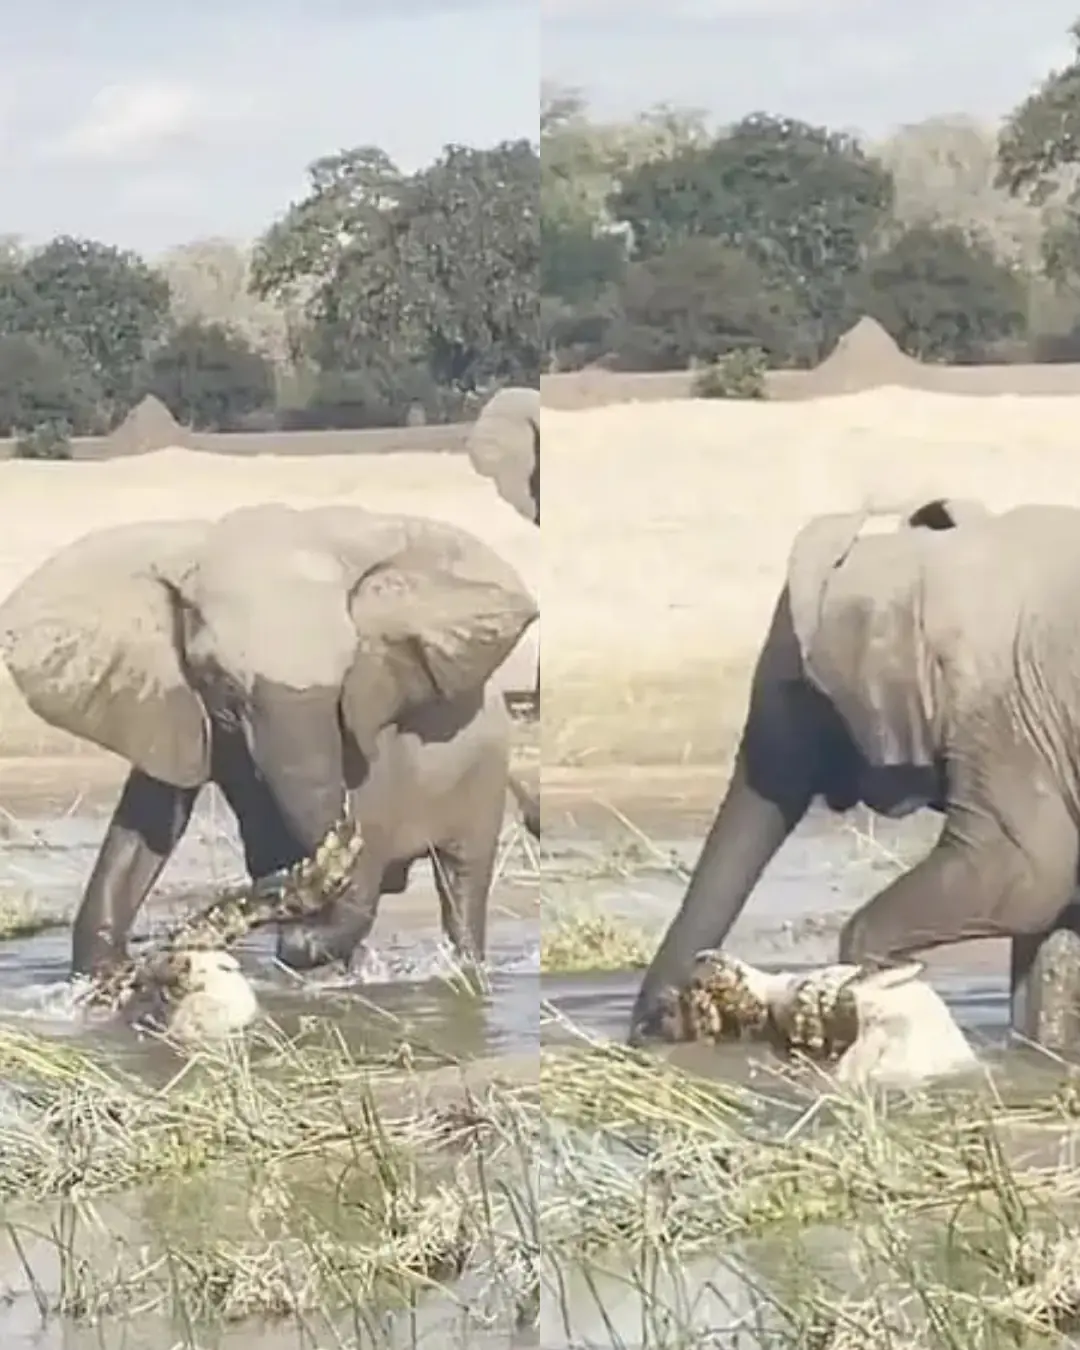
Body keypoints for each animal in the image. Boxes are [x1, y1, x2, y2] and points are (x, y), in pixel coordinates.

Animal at [0, 503, 538, 979]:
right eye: (223, 684)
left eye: (348, 672)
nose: (277, 888)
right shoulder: (171, 703)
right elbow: (150, 817)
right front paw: (98, 977)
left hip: (482, 779)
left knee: (462, 883)